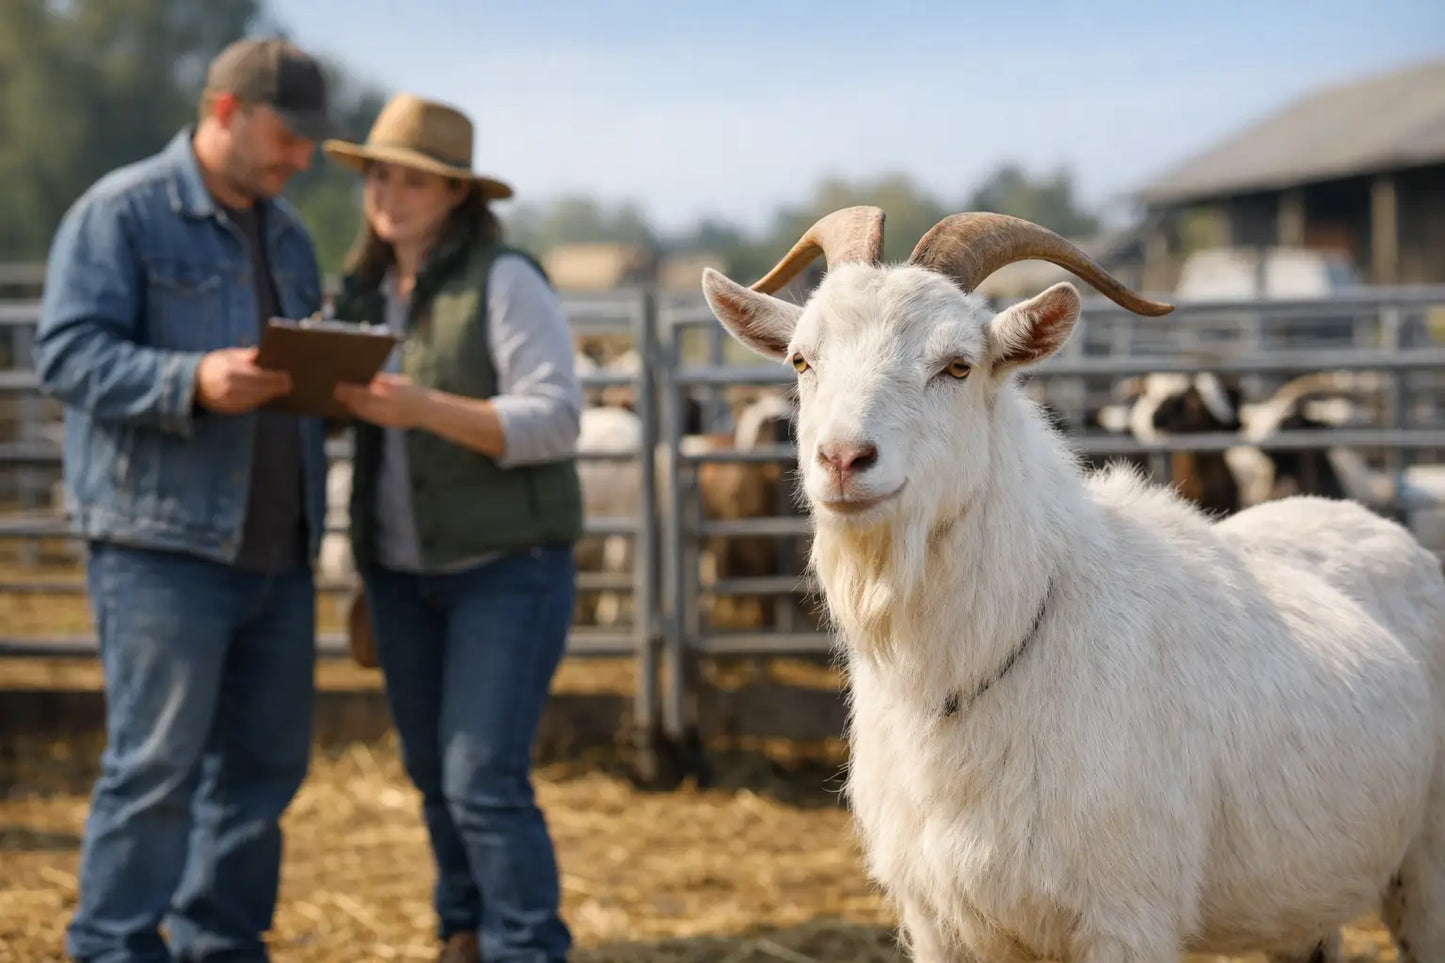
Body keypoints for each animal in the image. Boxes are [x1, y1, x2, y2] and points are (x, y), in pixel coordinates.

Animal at [702, 206, 1445, 963]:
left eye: (957, 365)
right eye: (802, 360)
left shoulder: (1128, 915)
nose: (844, 459)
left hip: (1427, 868)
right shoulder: (938, 918)